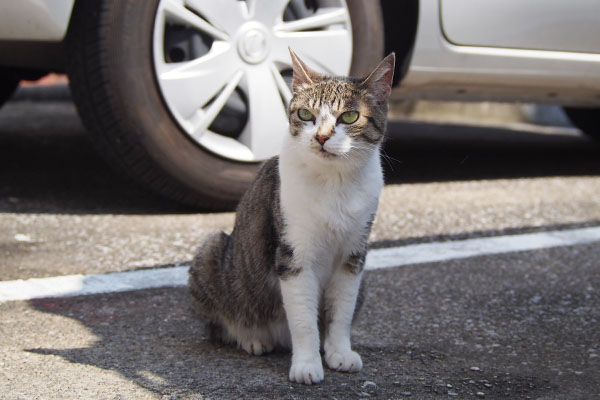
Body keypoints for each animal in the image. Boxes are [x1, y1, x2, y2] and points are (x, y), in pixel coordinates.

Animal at [188, 50, 394, 384]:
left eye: (349, 117)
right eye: (306, 115)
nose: (321, 137)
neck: (334, 181)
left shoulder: (353, 257)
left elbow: (341, 312)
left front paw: (339, 352)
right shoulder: (293, 255)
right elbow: (303, 319)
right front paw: (307, 365)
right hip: (212, 251)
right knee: (221, 325)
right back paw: (252, 338)